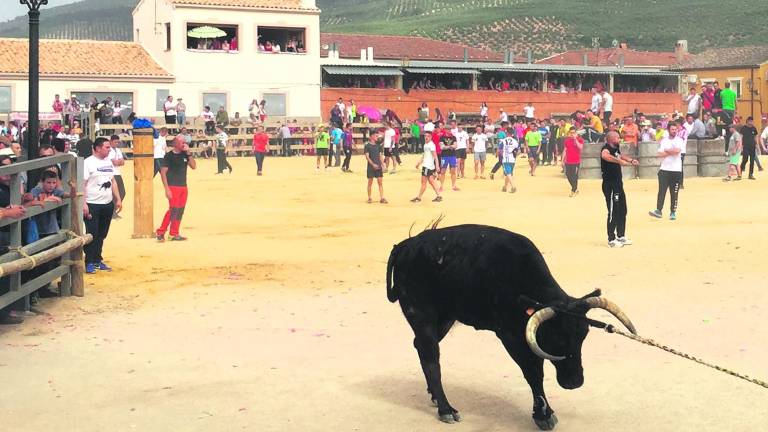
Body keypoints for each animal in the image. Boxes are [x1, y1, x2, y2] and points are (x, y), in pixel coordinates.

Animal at [384, 224, 636, 430]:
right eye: (555, 340)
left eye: (583, 336)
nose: (574, 382)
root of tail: (405, 246)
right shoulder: (510, 337)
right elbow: (533, 372)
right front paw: (543, 415)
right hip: (422, 316)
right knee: (430, 357)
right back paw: (446, 409)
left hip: (445, 318)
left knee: (420, 347)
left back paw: (434, 396)